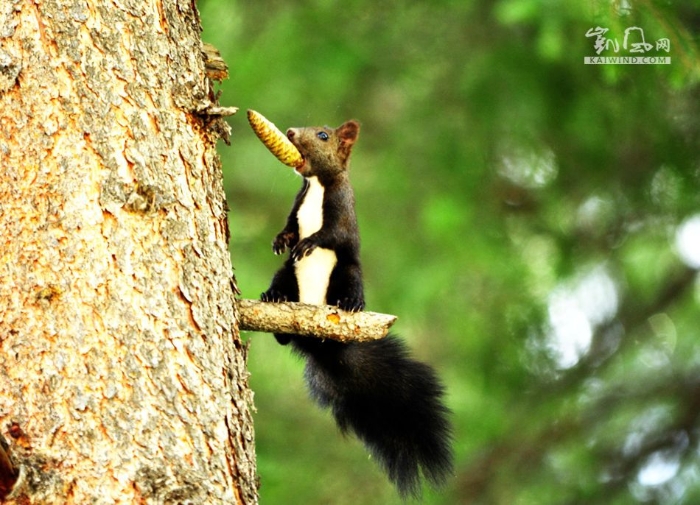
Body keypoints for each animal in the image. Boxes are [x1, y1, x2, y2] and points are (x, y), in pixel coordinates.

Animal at [262, 119, 454, 496]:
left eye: (323, 135)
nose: (290, 132)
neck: (317, 185)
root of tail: (322, 344)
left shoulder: (342, 210)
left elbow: (333, 235)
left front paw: (309, 241)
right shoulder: (295, 206)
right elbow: (289, 226)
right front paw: (281, 240)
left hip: (347, 273)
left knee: (349, 286)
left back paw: (350, 304)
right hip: (287, 274)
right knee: (282, 303)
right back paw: (273, 299)